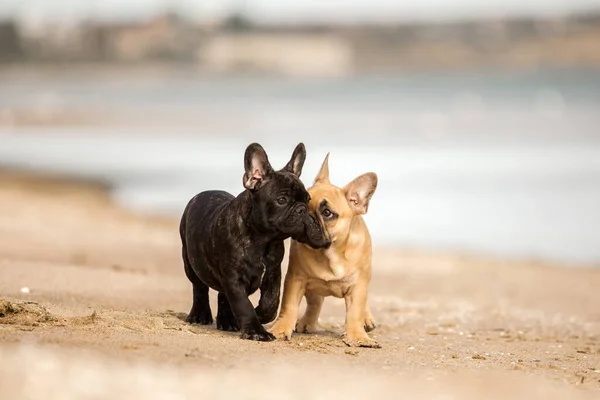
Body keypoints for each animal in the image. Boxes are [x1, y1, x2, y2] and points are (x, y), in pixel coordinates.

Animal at [180, 141, 330, 340]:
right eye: (282, 200)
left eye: (307, 200)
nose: (302, 210)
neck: (263, 240)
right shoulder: (234, 279)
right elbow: (243, 305)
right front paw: (256, 331)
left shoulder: (273, 273)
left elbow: (271, 302)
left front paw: (260, 314)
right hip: (190, 263)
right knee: (199, 288)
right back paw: (200, 315)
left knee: (222, 295)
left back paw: (227, 321)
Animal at [268, 153, 380, 346]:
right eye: (304, 201)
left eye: (327, 213)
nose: (305, 213)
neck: (329, 253)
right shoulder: (295, 279)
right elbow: (289, 306)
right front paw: (280, 329)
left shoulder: (358, 286)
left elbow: (355, 311)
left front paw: (357, 336)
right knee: (315, 303)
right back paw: (307, 323)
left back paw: (366, 319)